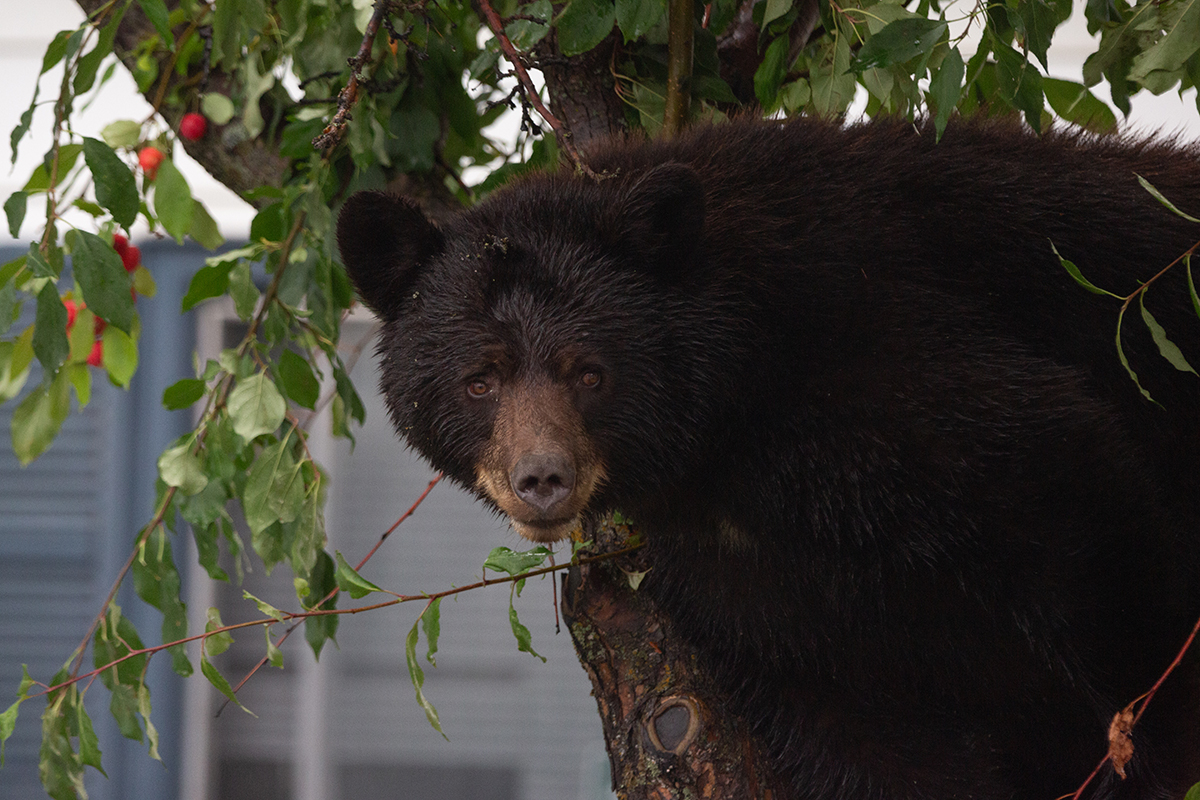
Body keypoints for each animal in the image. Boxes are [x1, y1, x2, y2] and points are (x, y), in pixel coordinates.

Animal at [336, 118, 1200, 800]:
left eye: (589, 371)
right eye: (479, 380)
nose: (542, 478)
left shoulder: (882, 357)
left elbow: (1062, 480)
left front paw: (1145, 760)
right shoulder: (743, 581)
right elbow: (855, 718)